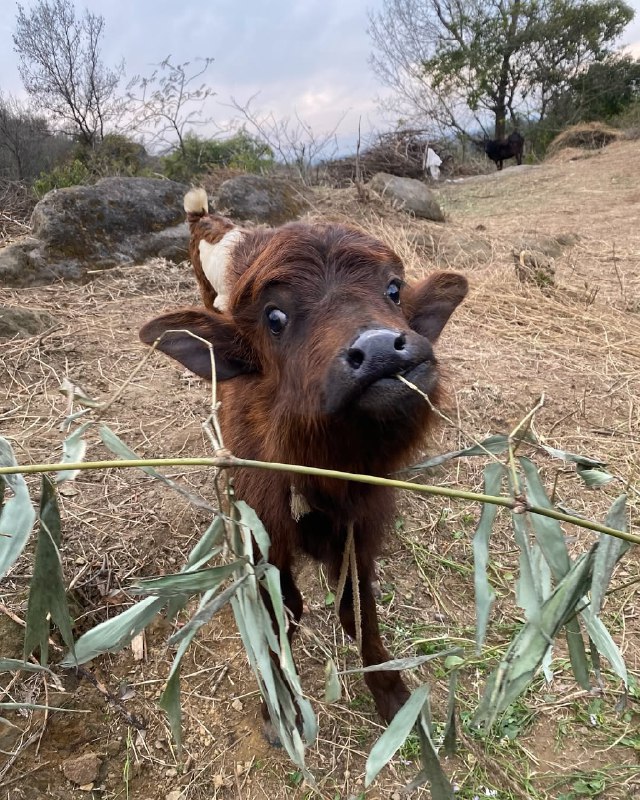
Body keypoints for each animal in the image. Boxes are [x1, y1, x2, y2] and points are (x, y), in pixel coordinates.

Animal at [140, 200, 468, 732]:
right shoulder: (266, 535)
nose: (380, 349)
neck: (325, 470)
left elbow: (357, 608)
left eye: (393, 289)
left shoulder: (359, 530)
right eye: (275, 317)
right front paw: (280, 701)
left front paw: (392, 693)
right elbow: (285, 608)